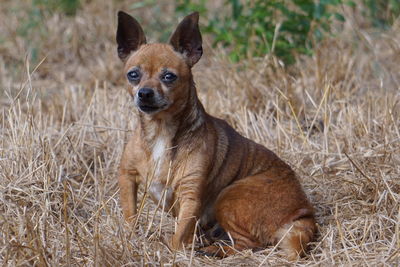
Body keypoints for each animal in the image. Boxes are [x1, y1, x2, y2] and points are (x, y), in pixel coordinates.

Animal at [115, 11, 316, 260]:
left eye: (169, 77)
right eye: (133, 75)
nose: (144, 93)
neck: (161, 131)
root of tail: (303, 213)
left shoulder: (190, 195)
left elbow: (178, 237)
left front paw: (174, 251)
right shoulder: (127, 177)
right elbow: (130, 216)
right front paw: (130, 240)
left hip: (229, 197)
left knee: (247, 243)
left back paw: (213, 250)